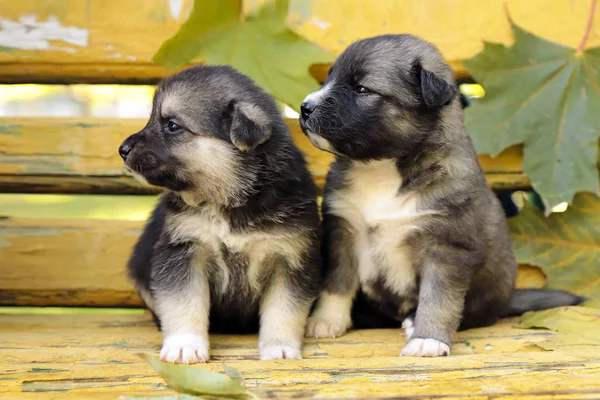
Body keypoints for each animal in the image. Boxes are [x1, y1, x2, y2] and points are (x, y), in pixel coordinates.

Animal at [119, 65, 322, 362]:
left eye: (172, 125)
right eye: (151, 119)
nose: (122, 150)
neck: (231, 198)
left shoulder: (290, 259)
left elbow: (284, 310)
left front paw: (280, 349)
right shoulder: (183, 251)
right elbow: (184, 304)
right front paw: (185, 345)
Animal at [298, 36, 584, 358]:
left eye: (361, 88)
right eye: (329, 78)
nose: (305, 108)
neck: (382, 170)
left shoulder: (447, 245)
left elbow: (439, 299)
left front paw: (428, 339)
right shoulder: (343, 230)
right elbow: (337, 282)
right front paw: (326, 320)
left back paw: (413, 322)